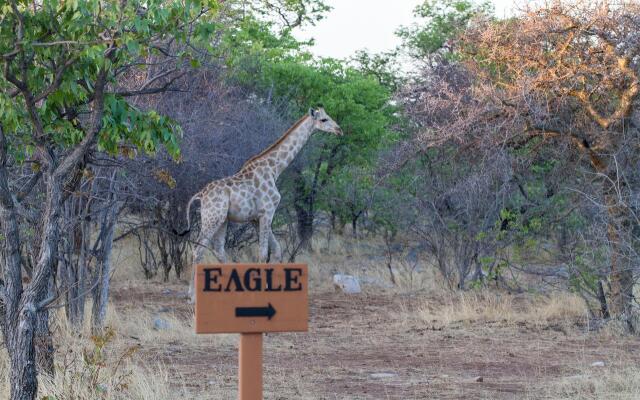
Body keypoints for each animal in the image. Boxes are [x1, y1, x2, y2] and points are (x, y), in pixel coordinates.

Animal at [181, 108, 340, 298]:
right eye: (324, 120)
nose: (339, 130)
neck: (274, 169)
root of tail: (201, 195)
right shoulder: (267, 212)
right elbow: (264, 253)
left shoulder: (256, 218)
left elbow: (276, 250)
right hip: (212, 218)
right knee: (198, 250)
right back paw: (191, 295)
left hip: (222, 220)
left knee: (219, 249)